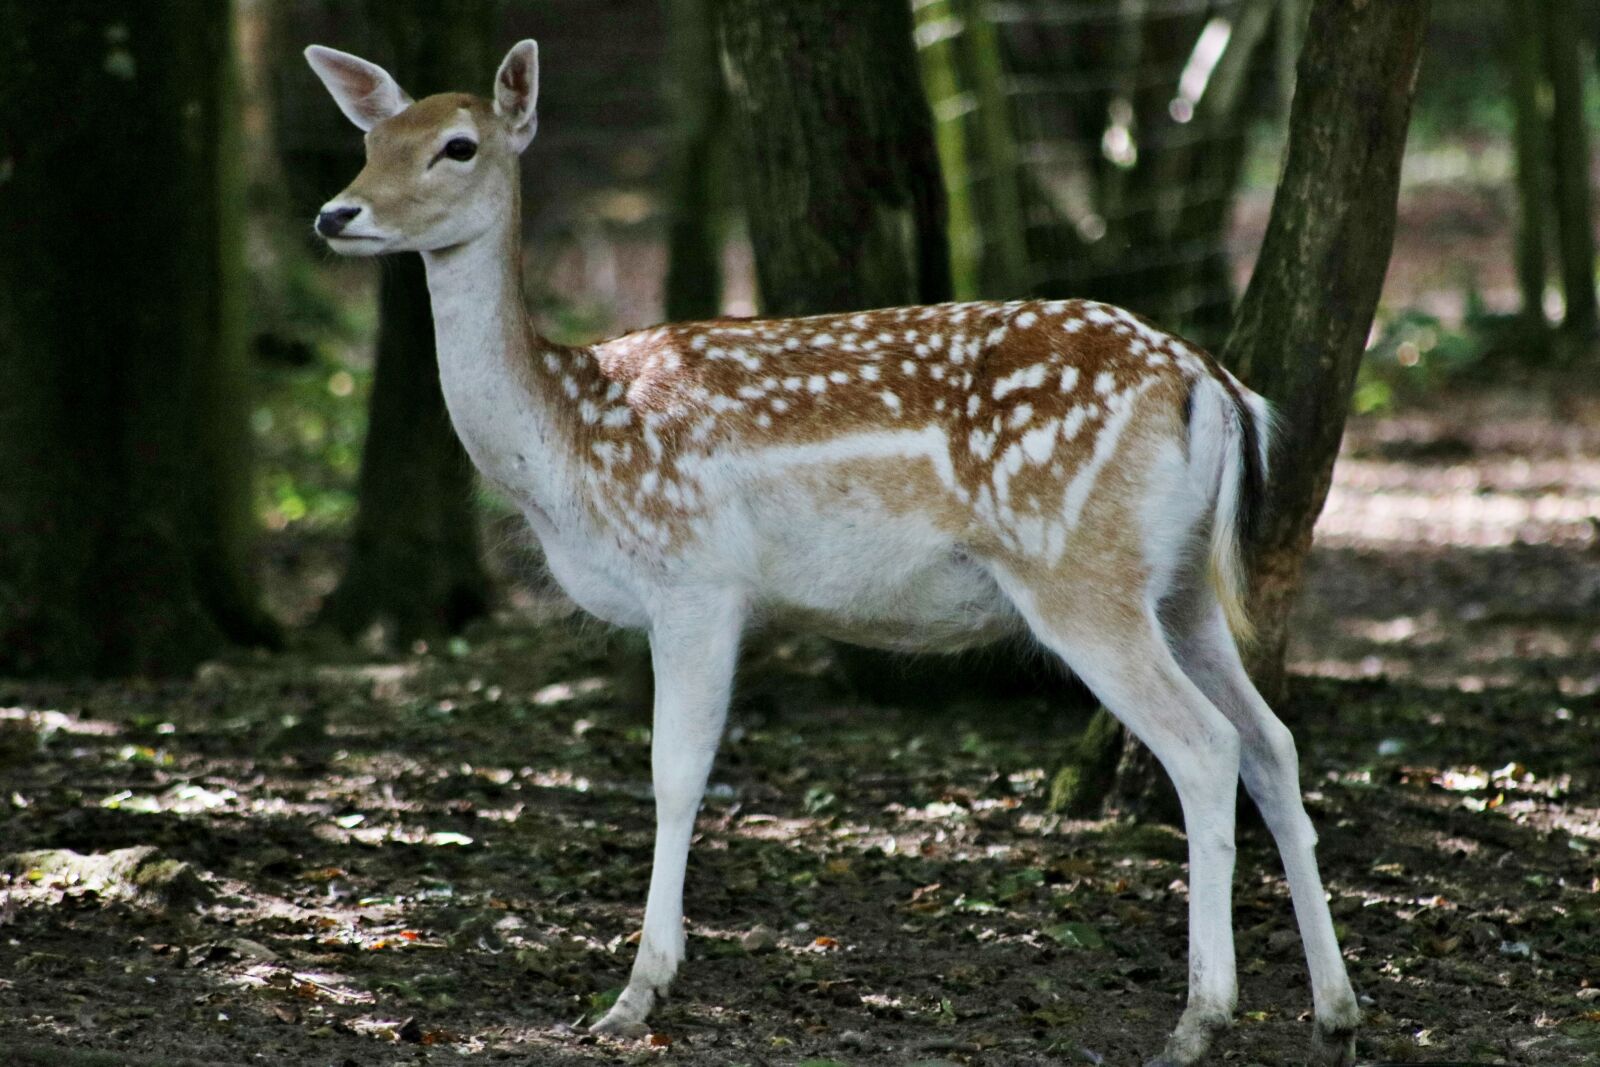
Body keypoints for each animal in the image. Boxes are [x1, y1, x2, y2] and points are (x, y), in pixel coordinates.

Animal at [304, 39, 1360, 1067]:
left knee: (1206, 745)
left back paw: (1200, 1019)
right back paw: (1335, 1012)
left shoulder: (694, 575)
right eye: (371, 138)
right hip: (1180, 587)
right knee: (1272, 741)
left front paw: (636, 995)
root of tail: (1211, 382)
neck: (566, 444)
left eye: (457, 146)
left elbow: (675, 772)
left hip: (1078, 568)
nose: (335, 212)